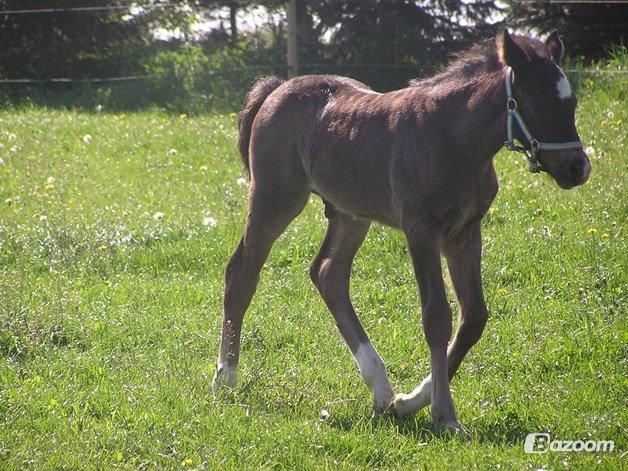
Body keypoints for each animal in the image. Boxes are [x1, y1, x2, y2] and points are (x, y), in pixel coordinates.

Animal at [213, 30, 592, 436]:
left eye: (572, 103)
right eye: (537, 103)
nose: (578, 168)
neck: (451, 137)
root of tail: (277, 89)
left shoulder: (464, 233)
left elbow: (474, 317)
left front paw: (411, 401)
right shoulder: (421, 231)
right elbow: (437, 317)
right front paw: (444, 415)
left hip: (350, 214)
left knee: (328, 274)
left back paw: (381, 390)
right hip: (275, 198)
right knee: (241, 274)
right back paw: (226, 377)